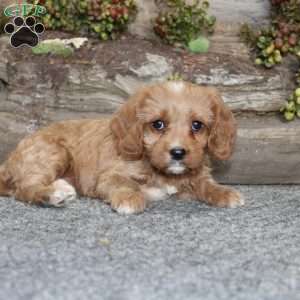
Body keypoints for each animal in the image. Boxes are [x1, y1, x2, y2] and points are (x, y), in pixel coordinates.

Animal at [0, 81, 244, 213]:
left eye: (197, 125)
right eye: (158, 124)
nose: (177, 152)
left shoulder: (197, 175)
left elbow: (206, 184)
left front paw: (224, 192)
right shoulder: (109, 176)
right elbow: (124, 183)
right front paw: (129, 199)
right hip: (54, 153)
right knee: (24, 189)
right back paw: (53, 194)